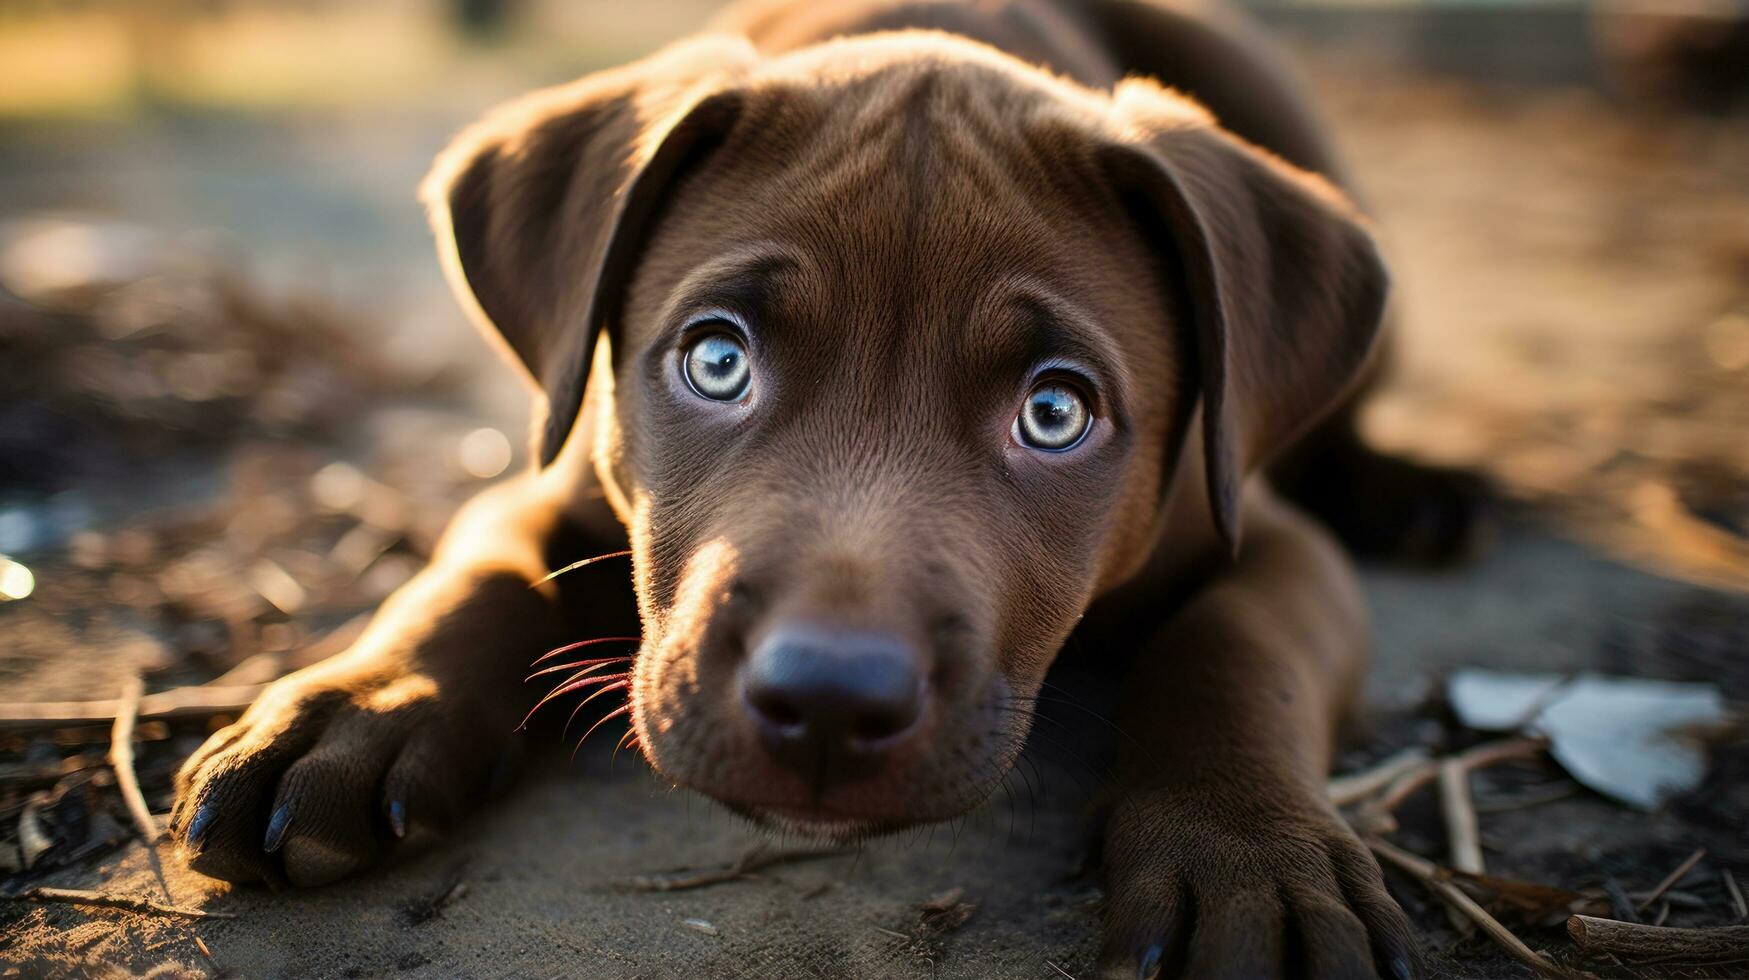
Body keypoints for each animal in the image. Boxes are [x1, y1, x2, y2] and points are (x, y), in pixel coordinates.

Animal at [170, 3, 1441, 973]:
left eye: (1056, 412)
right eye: (717, 359)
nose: (829, 701)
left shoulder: (1265, 539)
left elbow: (1231, 655)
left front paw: (1253, 855)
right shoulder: (557, 477)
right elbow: (471, 580)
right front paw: (353, 704)